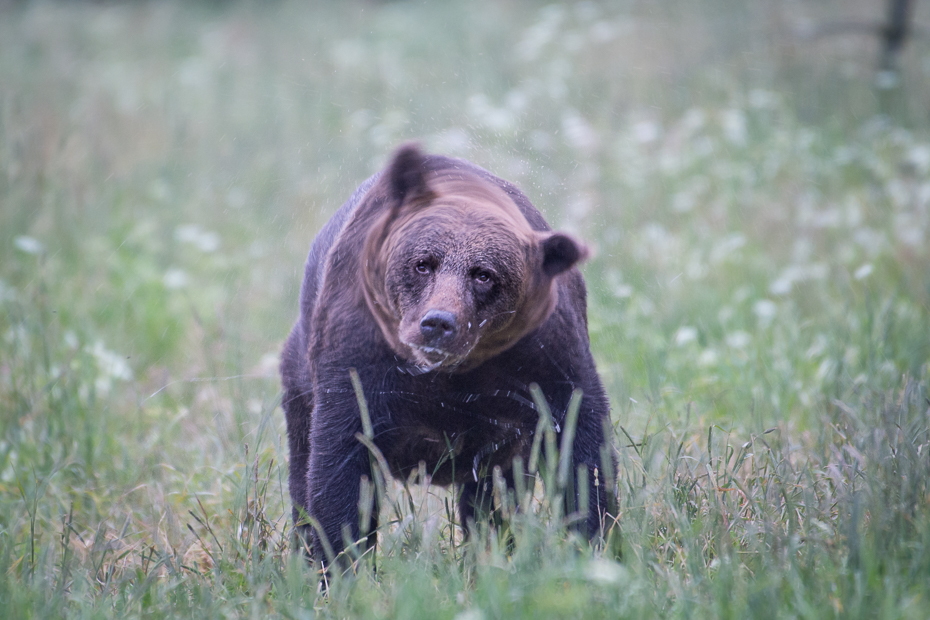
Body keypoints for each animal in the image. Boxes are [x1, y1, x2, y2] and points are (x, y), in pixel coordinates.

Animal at [280, 142, 612, 568]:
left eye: (484, 274)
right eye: (423, 264)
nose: (438, 322)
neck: (452, 374)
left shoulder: (541, 362)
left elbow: (580, 445)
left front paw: (595, 541)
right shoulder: (362, 362)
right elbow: (341, 465)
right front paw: (338, 562)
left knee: (492, 497)